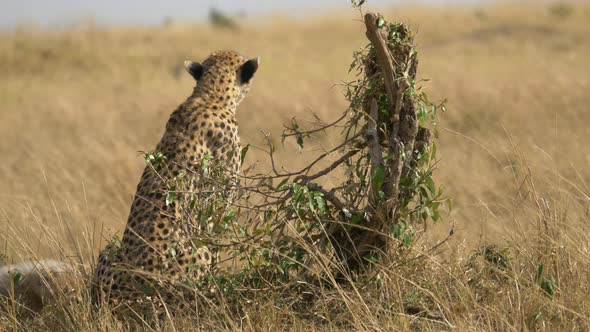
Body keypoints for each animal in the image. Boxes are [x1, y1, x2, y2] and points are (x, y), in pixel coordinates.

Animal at [92, 50, 260, 316]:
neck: (210, 95)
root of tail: (124, 294)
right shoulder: (217, 204)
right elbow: (214, 237)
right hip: (192, 258)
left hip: (109, 252)